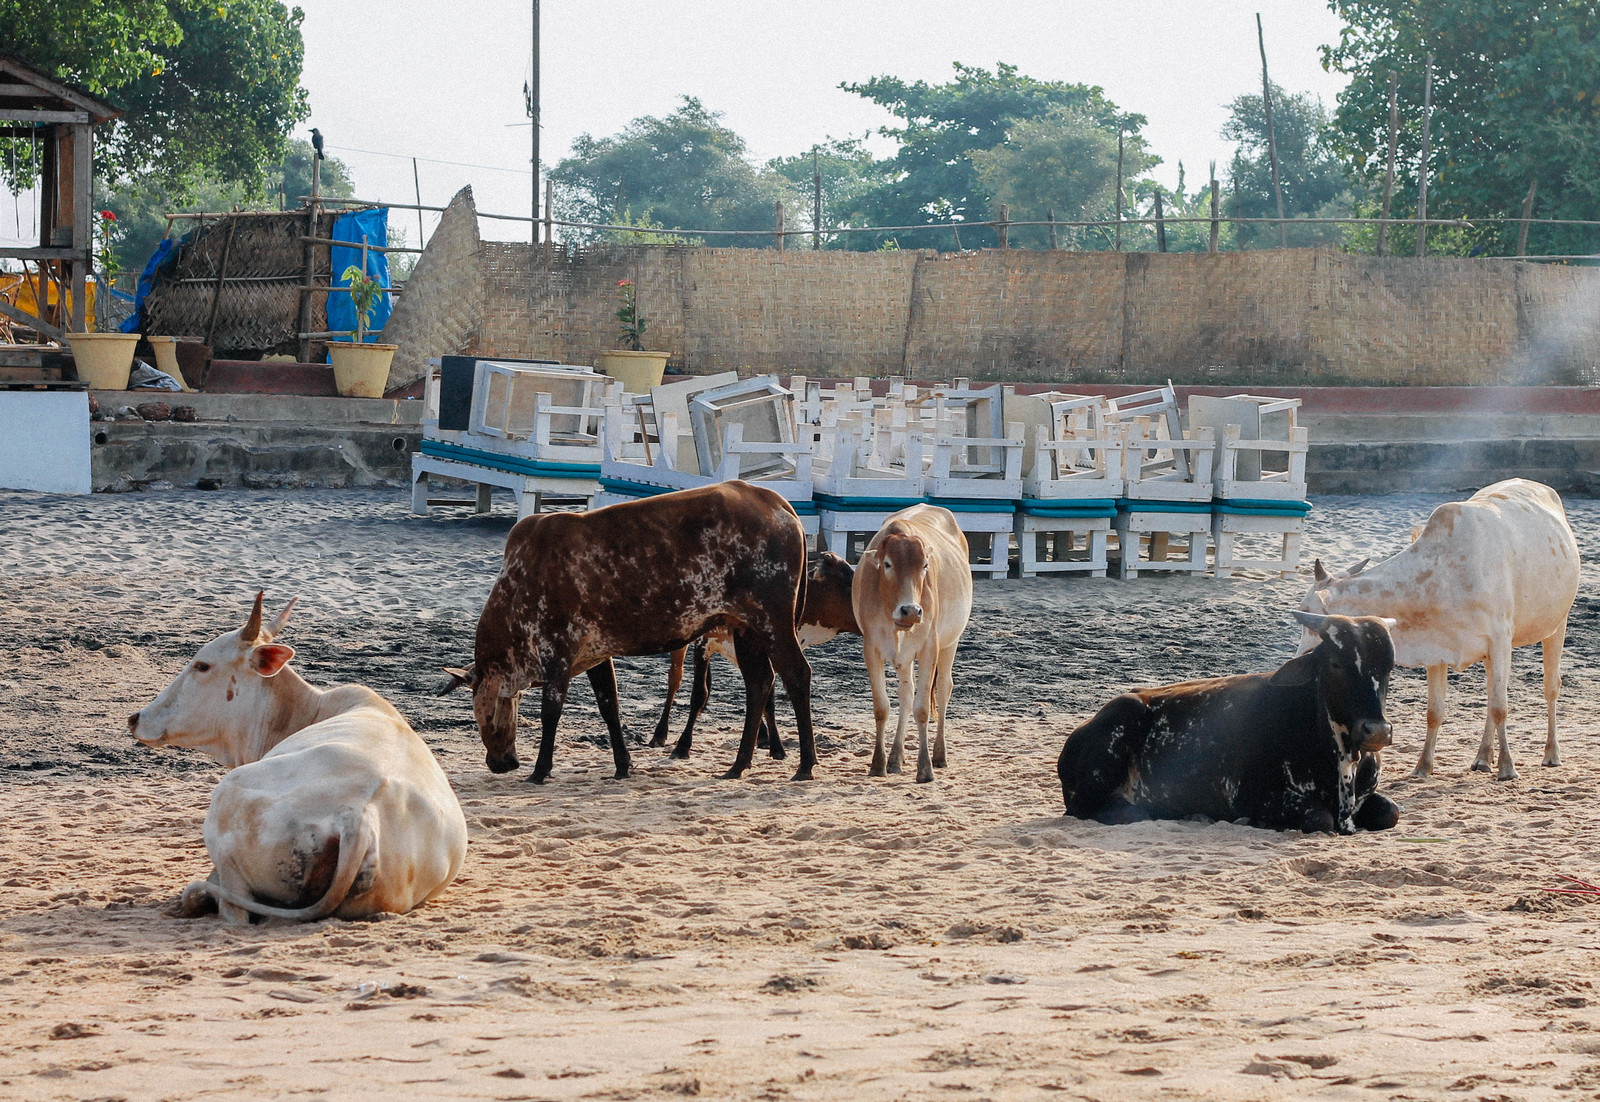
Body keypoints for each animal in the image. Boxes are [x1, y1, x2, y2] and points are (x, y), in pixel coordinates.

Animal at [131, 591, 467, 921]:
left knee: (233, 910)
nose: (135, 718)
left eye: (202, 665)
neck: (310, 710)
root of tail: (357, 817)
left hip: (226, 813)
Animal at [851, 502, 972, 777]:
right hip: (905, 657)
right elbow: (882, 707)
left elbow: (922, 709)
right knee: (906, 693)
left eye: (925, 565)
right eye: (887, 564)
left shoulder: (929, 648)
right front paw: (878, 763)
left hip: (950, 642)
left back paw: (939, 754)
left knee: (943, 689)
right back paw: (896, 757)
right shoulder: (871, 649)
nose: (912, 611)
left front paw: (925, 768)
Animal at [1062, 610, 1401, 831]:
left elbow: (1391, 811)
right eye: (1335, 664)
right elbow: (1320, 818)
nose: (1377, 731)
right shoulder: (1253, 796)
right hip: (1119, 724)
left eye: (1389, 667)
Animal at [1305, 476, 1580, 777]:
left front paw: (1508, 767)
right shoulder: (1436, 647)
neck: (1442, 575)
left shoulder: (1500, 640)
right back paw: (1482, 758)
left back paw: (1551, 753)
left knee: (1550, 686)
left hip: (1558, 623)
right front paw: (1423, 766)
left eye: (1307, 613)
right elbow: (1435, 711)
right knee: (1490, 695)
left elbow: (1500, 707)